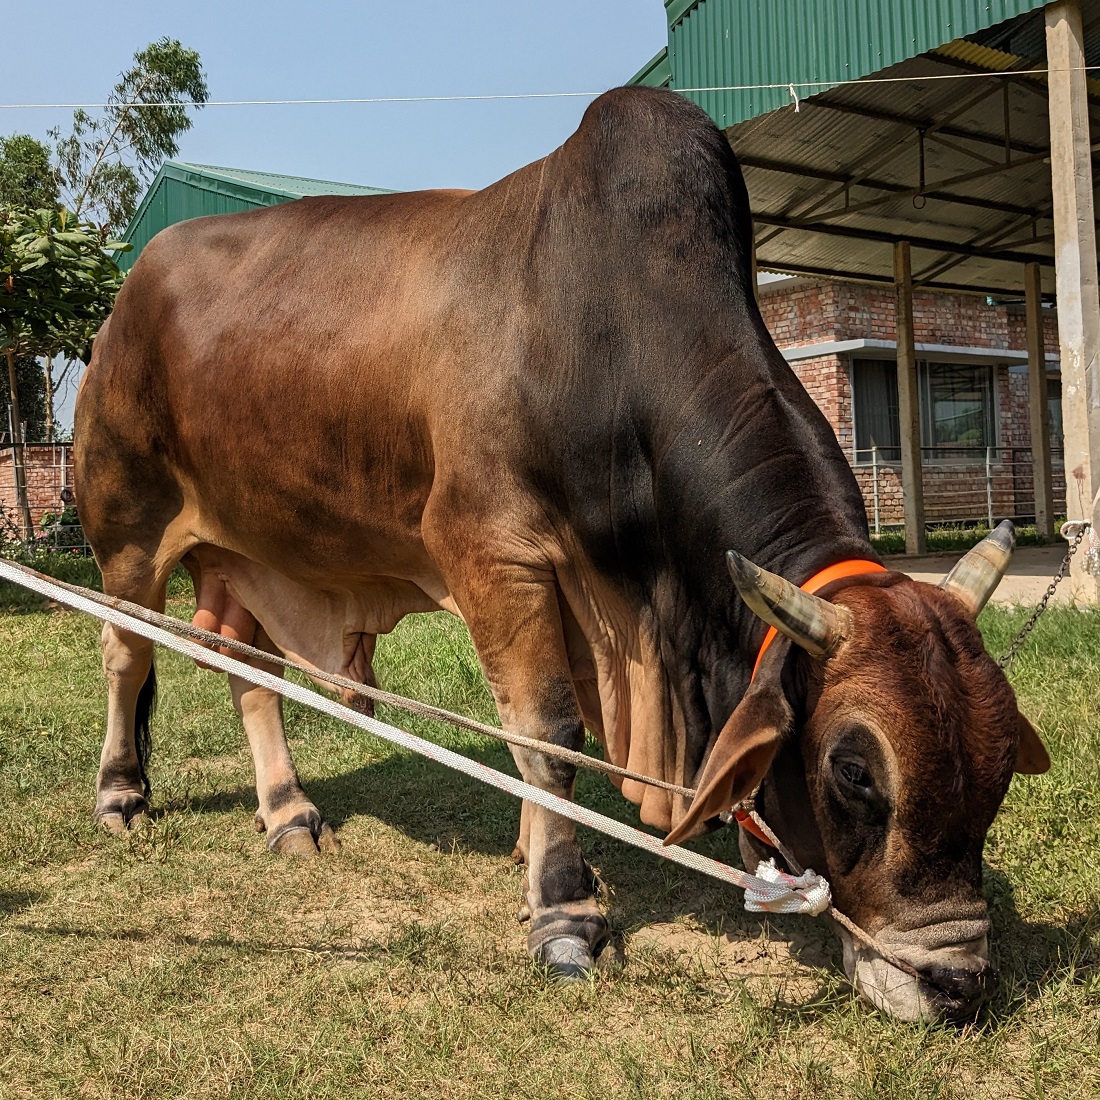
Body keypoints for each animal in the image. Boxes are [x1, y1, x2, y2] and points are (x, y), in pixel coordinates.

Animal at [77, 85, 1047, 1020]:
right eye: (853, 771)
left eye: (1003, 762)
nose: (957, 984)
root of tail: (125, 300)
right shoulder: (492, 554)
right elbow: (548, 733)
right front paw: (565, 915)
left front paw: (531, 857)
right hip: (126, 531)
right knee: (124, 653)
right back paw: (121, 794)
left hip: (250, 552)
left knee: (246, 665)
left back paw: (287, 812)